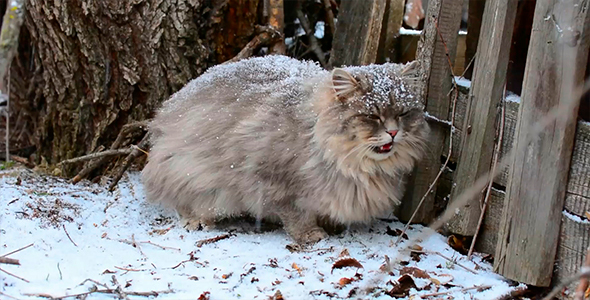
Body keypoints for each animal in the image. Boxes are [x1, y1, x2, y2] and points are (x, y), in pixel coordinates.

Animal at [143, 55, 430, 245]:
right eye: (372, 116)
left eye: (403, 114)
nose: (393, 132)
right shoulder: (275, 184)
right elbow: (297, 215)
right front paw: (311, 235)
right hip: (190, 174)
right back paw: (197, 220)